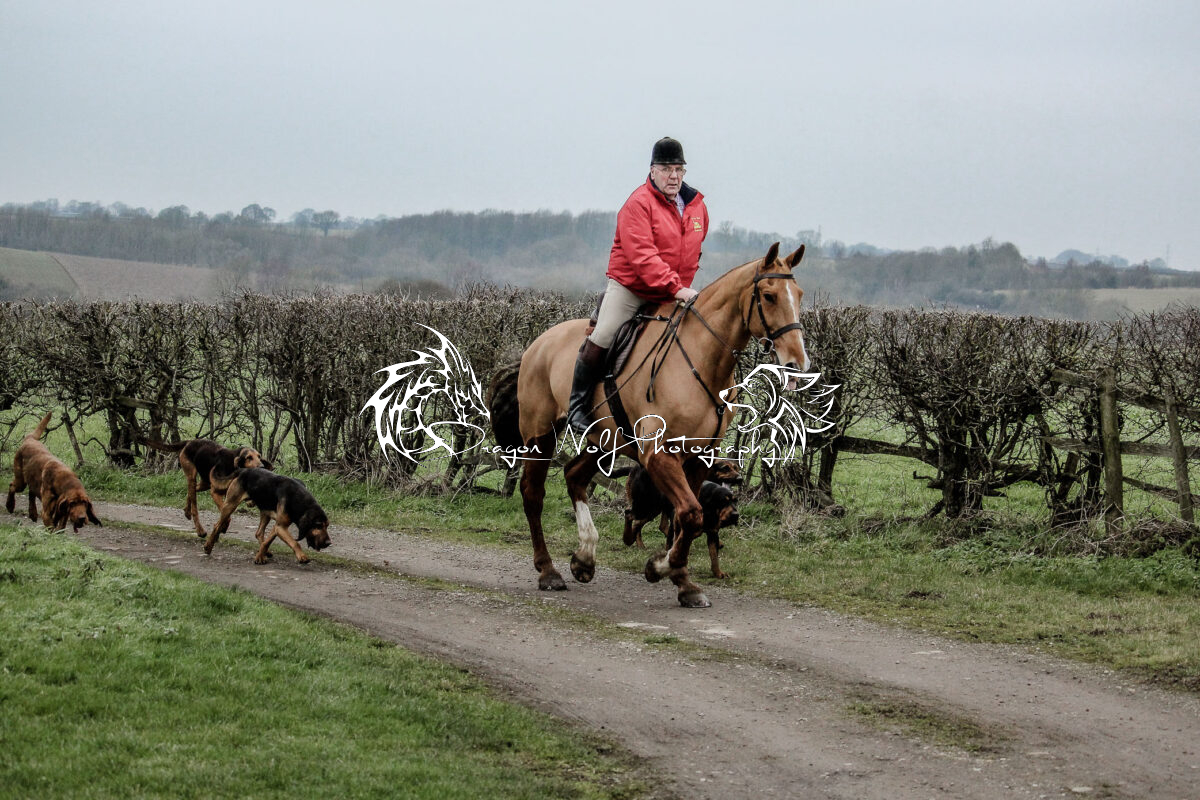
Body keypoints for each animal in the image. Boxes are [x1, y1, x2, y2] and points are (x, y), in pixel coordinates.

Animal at [507, 242, 810, 607]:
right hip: (540, 434)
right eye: (768, 296)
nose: (796, 363)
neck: (701, 362)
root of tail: (539, 342)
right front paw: (660, 568)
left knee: (574, 476)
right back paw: (548, 571)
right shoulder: (659, 455)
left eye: (799, 294)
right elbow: (690, 515)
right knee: (533, 493)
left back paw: (585, 557)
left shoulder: (697, 459)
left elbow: (687, 519)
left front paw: (682, 581)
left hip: (605, 440)